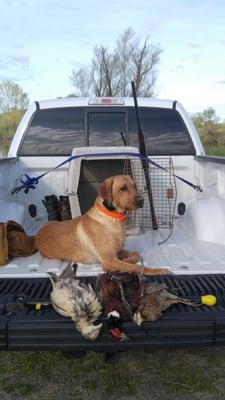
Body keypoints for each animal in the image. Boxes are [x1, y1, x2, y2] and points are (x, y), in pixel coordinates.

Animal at [36, 175, 171, 276]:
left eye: (135, 186)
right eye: (123, 188)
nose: (142, 200)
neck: (114, 218)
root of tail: (37, 234)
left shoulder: (117, 251)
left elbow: (136, 254)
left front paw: (129, 259)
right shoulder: (109, 261)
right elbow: (139, 268)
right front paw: (160, 270)